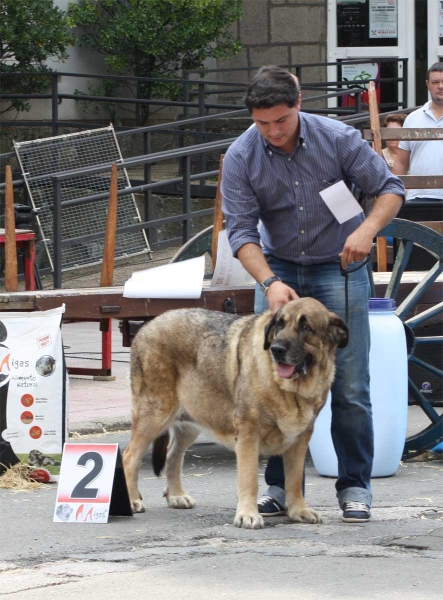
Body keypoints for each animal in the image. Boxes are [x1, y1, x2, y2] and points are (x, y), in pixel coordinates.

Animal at [123, 298, 348, 528]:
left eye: (306, 327)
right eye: (279, 324)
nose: (276, 349)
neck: (291, 390)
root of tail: (148, 325)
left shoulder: (299, 440)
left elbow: (294, 480)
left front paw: (299, 510)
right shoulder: (249, 435)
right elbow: (250, 479)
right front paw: (248, 514)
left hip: (193, 419)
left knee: (173, 455)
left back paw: (176, 495)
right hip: (155, 414)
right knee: (130, 457)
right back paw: (132, 500)